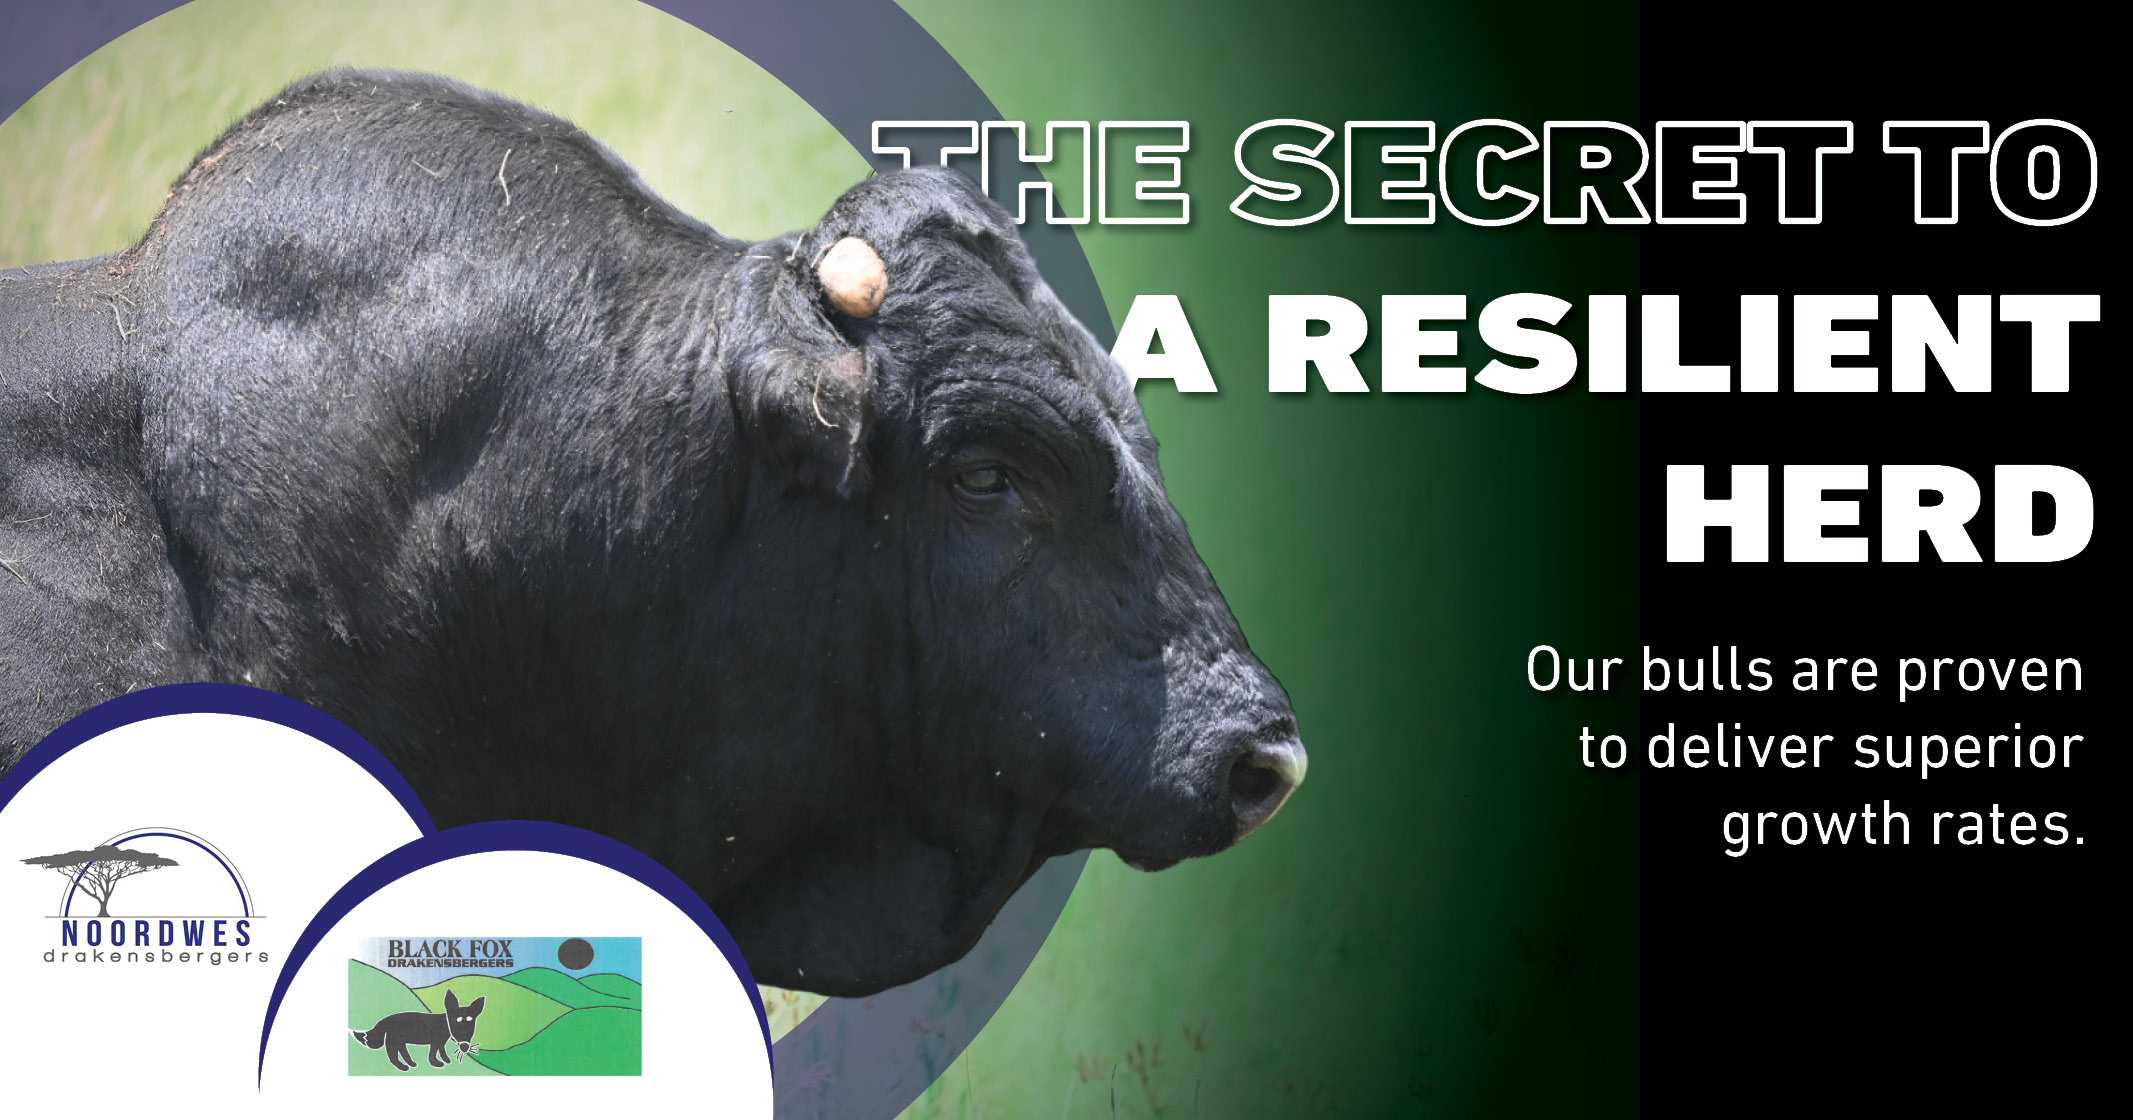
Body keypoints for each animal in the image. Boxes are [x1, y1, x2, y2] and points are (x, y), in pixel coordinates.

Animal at [352, 989, 487, 1071]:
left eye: (471, 1021)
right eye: (457, 1021)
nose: (464, 1047)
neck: (445, 1024)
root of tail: (385, 1019)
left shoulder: (440, 1042)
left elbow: (441, 1051)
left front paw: (446, 1060)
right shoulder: (435, 1041)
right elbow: (433, 1053)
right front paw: (437, 1063)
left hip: (399, 1040)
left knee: (402, 1052)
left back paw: (411, 1064)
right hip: (393, 1039)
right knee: (392, 1054)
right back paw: (402, 1067)